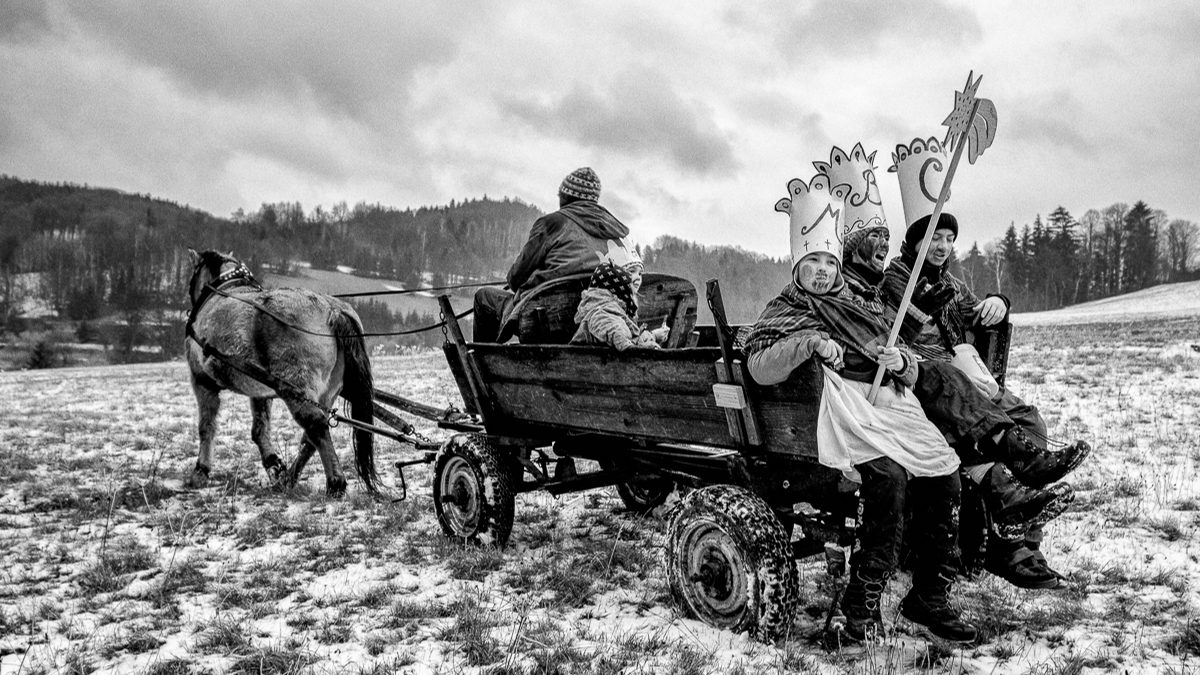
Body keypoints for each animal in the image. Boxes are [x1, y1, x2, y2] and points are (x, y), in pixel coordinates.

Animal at [183, 247, 374, 494]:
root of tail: (332, 309)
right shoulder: (261, 390)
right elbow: (259, 429)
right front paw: (274, 465)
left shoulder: (201, 381)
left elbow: (206, 427)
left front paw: (201, 470)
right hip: (327, 391)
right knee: (310, 437)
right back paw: (289, 478)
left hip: (295, 388)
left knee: (316, 425)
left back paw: (335, 482)